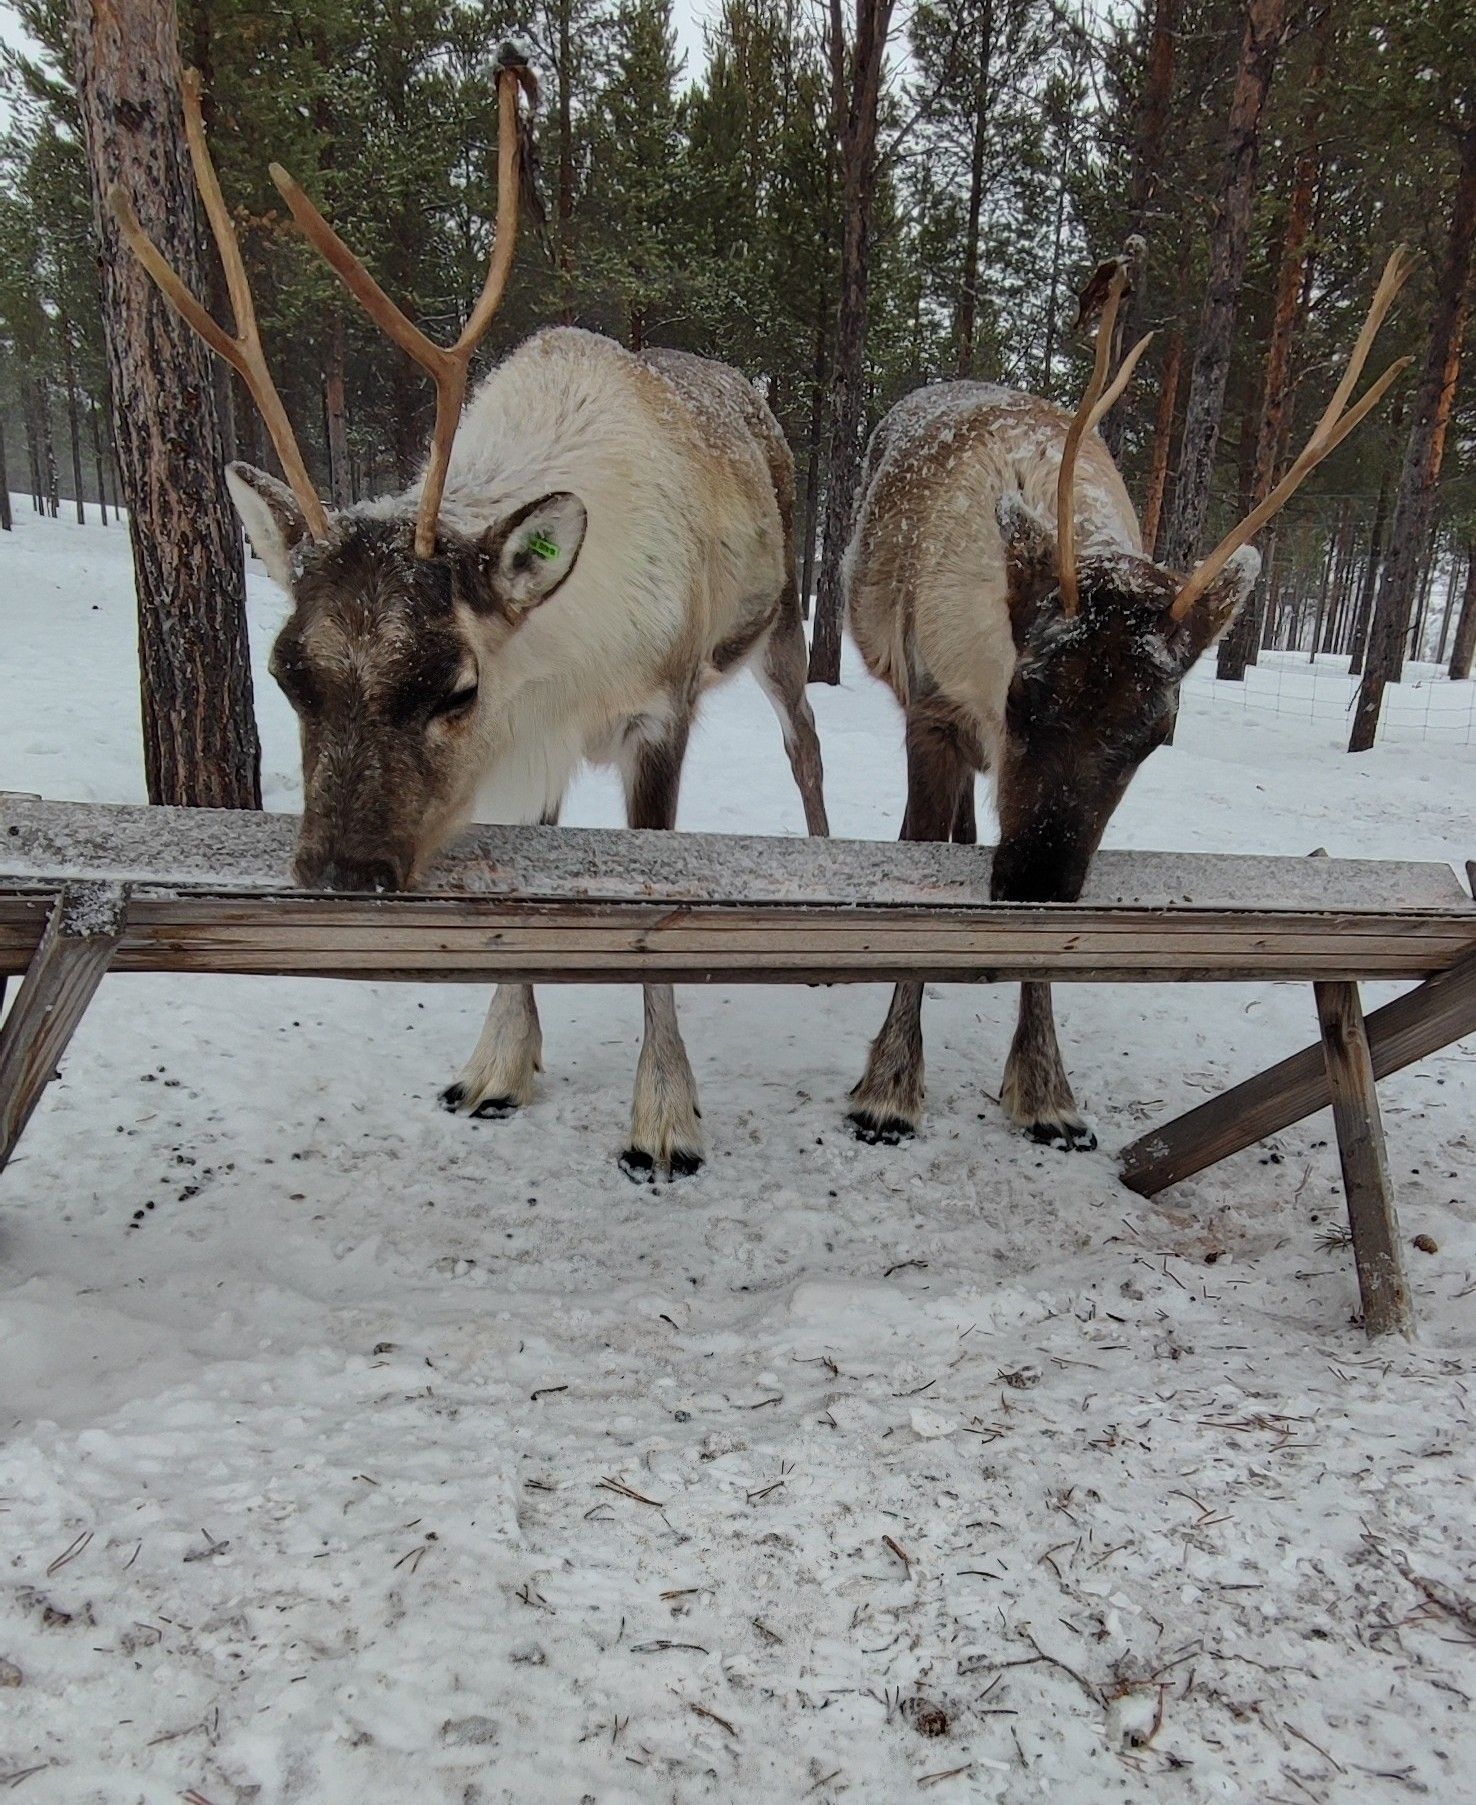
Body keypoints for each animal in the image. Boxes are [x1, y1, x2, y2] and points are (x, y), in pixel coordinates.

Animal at [111, 51, 829, 1181]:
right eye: (285, 674)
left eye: (452, 685)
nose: (342, 872)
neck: (574, 665)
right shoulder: (539, 740)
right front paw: (498, 1062)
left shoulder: (660, 712)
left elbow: (655, 912)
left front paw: (664, 1115)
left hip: (781, 629)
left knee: (808, 746)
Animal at [843, 249, 1412, 1152]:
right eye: (1024, 696)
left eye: (1156, 735)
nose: (1034, 883)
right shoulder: (935, 708)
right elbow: (918, 855)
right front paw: (890, 1086)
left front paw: (1045, 1090)